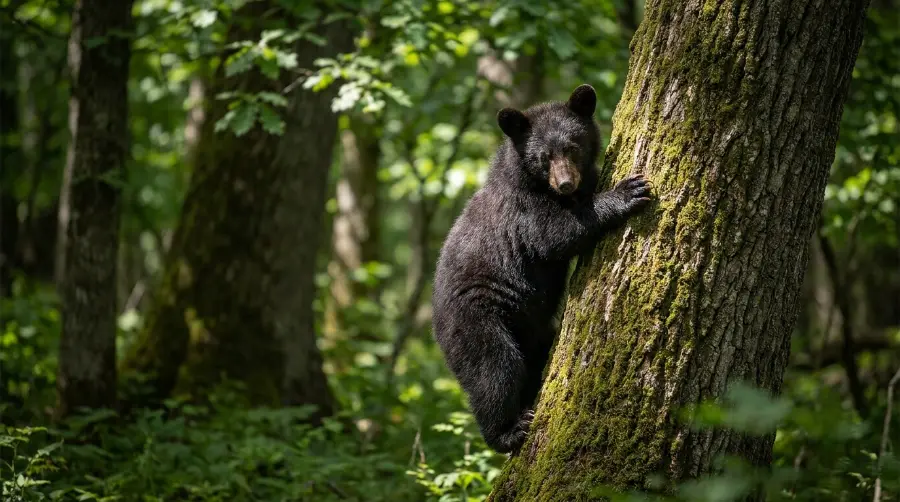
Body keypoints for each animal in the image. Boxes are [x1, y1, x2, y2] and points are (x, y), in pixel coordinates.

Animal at [431, 84, 653, 453]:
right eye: (543, 157)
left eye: (572, 147)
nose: (565, 183)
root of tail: (436, 327)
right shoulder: (524, 212)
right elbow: (557, 233)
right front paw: (628, 191)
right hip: (476, 320)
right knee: (494, 371)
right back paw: (507, 431)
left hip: (531, 330)